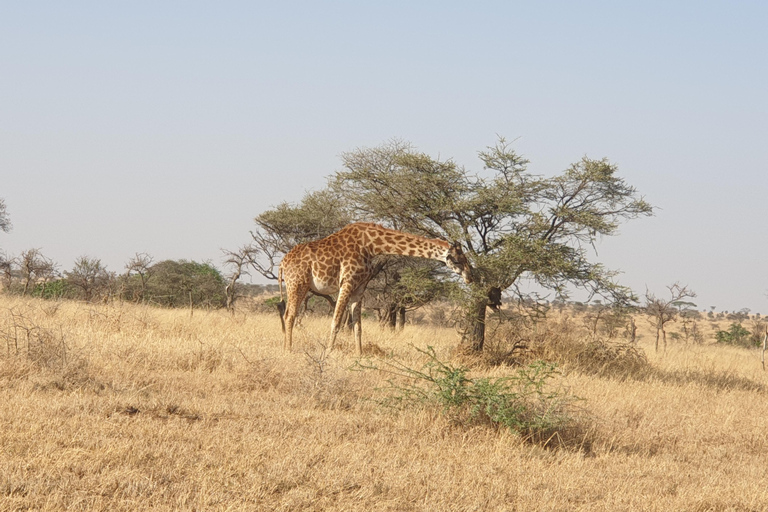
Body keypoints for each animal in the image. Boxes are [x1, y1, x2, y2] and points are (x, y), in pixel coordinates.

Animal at [276, 222, 468, 354]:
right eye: (458, 259)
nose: (470, 276)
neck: (371, 245)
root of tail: (282, 263)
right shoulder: (347, 281)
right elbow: (336, 321)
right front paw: (328, 353)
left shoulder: (359, 286)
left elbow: (357, 325)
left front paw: (359, 355)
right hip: (297, 284)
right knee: (290, 315)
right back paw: (288, 350)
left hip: (299, 286)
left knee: (287, 314)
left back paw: (286, 347)